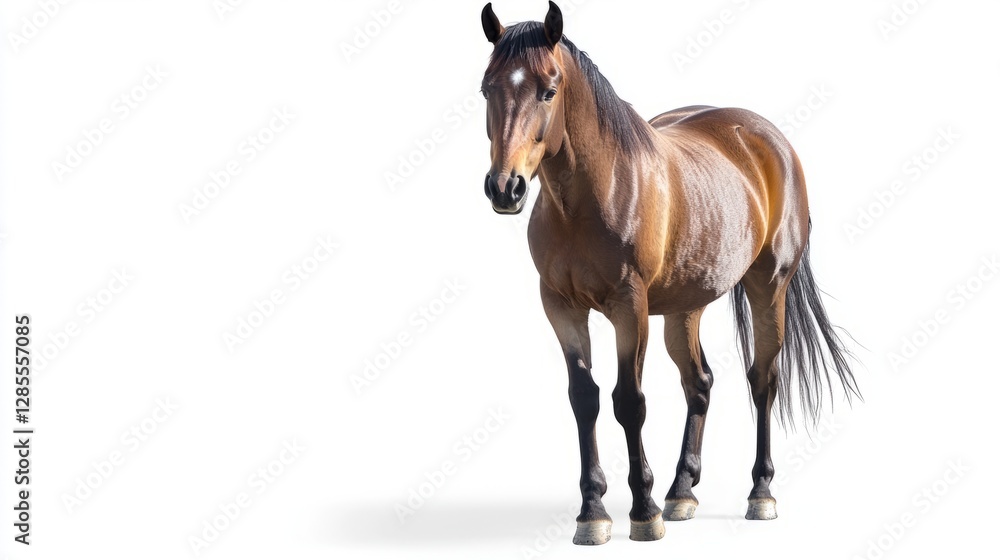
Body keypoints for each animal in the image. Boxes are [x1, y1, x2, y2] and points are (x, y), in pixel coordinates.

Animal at [478, 1, 859, 545]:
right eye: (487, 89)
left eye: (548, 90)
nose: (504, 188)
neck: (592, 195)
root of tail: (769, 139)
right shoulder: (560, 307)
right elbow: (584, 399)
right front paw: (593, 512)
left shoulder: (628, 306)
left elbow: (629, 402)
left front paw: (643, 510)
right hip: (686, 304)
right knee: (699, 383)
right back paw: (682, 492)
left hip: (769, 288)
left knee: (763, 379)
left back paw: (759, 493)